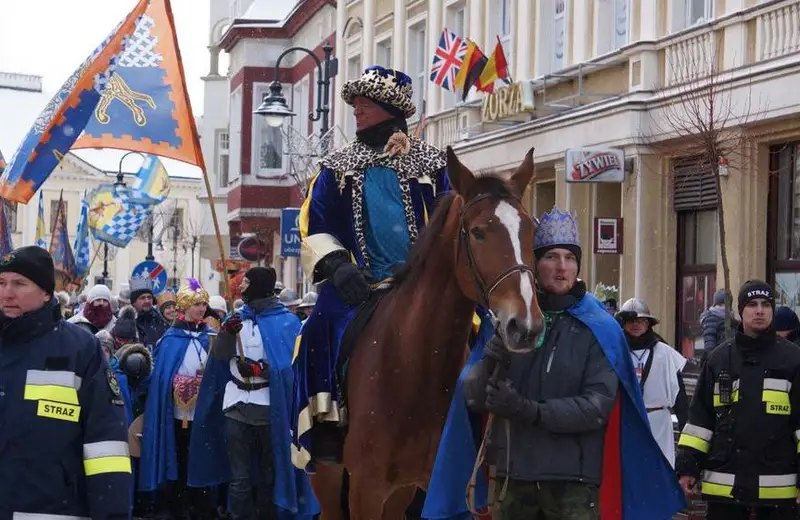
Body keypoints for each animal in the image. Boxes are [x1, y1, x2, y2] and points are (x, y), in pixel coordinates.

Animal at [312, 146, 544, 520]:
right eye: (477, 232)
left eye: (530, 231)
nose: (524, 326)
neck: (414, 366)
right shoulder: (366, 489)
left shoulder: (444, 486)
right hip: (329, 481)